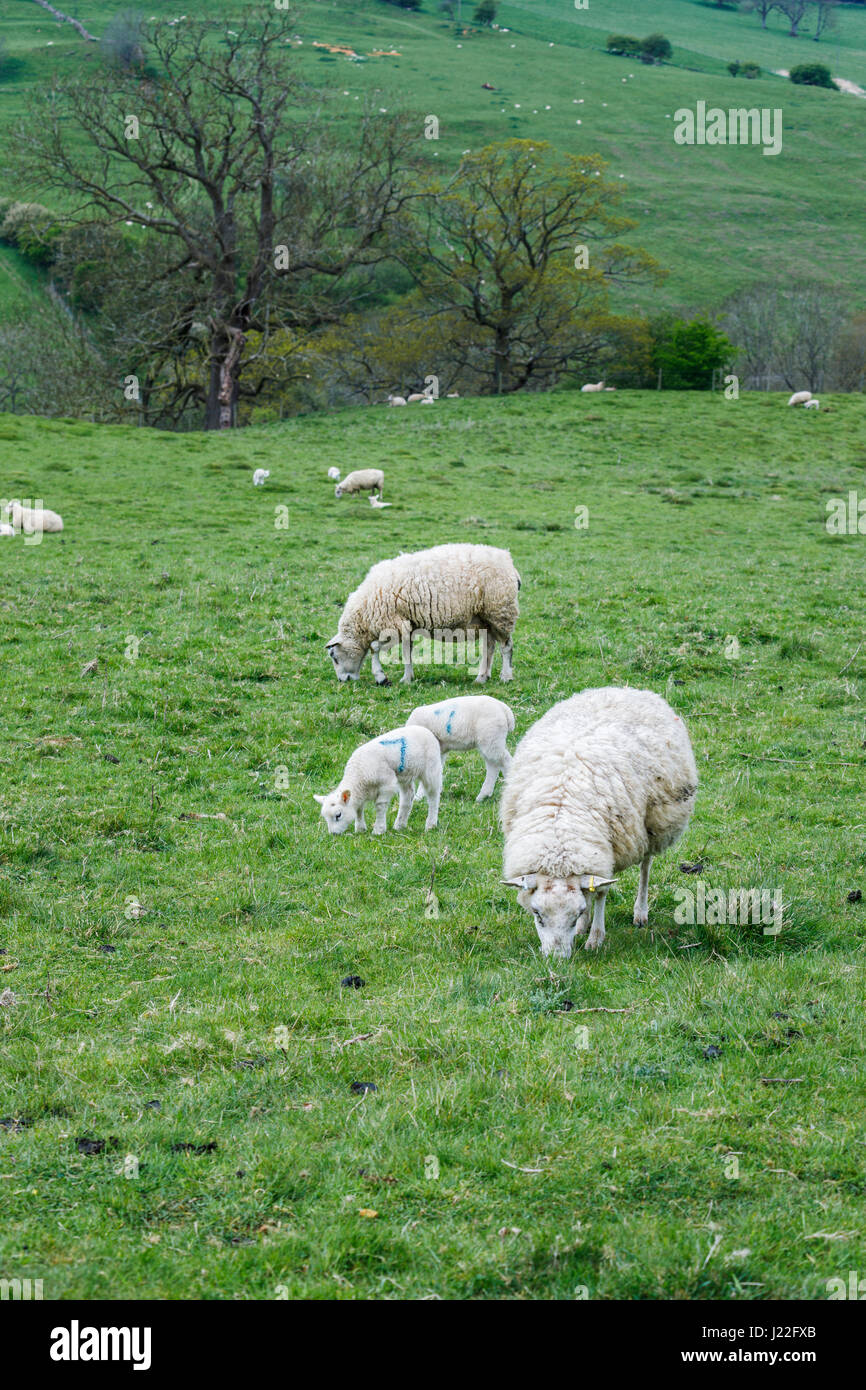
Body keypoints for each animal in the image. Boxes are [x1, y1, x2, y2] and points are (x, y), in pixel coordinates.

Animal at [314, 725, 442, 834]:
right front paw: (360, 829)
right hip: (405, 775)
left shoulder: (387, 783)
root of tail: (424, 729)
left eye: (338, 815)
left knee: (433, 795)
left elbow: (380, 806)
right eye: (325, 817)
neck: (358, 776)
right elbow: (359, 809)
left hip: (431, 768)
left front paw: (378, 830)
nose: (334, 834)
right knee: (407, 797)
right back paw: (399, 825)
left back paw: (431, 824)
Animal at [326, 542, 520, 687]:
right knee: (489, 647)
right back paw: (482, 677)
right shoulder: (407, 625)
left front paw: (381, 677)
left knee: (506, 647)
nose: (343, 680)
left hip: (500, 612)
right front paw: (407, 678)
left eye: (333, 656)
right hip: (486, 618)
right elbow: (407, 652)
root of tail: (509, 562)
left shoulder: (393, 624)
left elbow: (374, 647)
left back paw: (505, 676)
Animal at [501, 687, 698, 957]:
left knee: (645, 866)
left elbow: (602, 892)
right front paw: (585, 928)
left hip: (652, 825)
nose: (556, 959)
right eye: (537, 914)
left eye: (575, 914)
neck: (561, 826)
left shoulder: (611, 847)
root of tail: (627, 689)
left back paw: (640, 912)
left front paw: (595, 938)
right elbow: (591, 892)